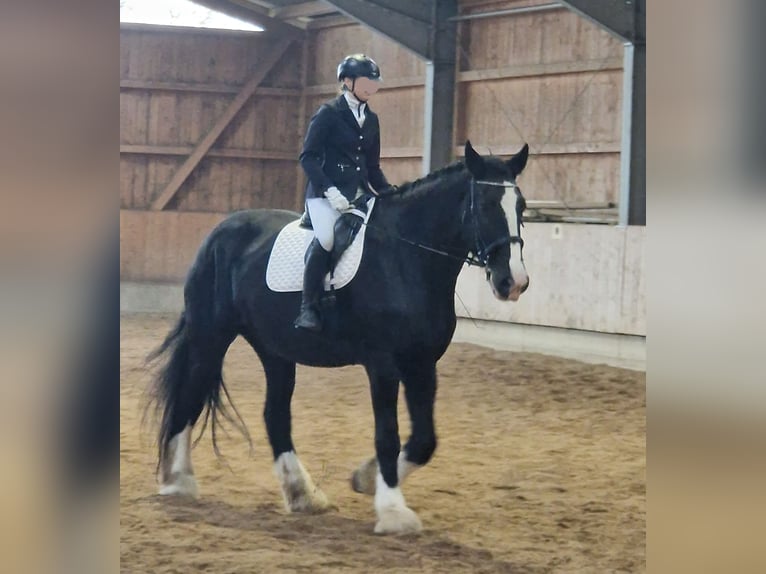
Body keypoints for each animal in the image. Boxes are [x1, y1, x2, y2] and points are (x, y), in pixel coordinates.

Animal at [150, 140, 536, 536]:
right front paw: (393, 511)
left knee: (274, 415)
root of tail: (218, 232)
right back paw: (179, 481)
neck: (407, 258)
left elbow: (424, 440)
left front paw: (366, 478)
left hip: (275, 351)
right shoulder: (382, 364)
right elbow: (388, 435)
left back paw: (303, 495)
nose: (513, 282)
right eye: (485, 205)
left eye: (520, 206)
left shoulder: (422, 363)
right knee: (190, 396)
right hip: (210, 338)